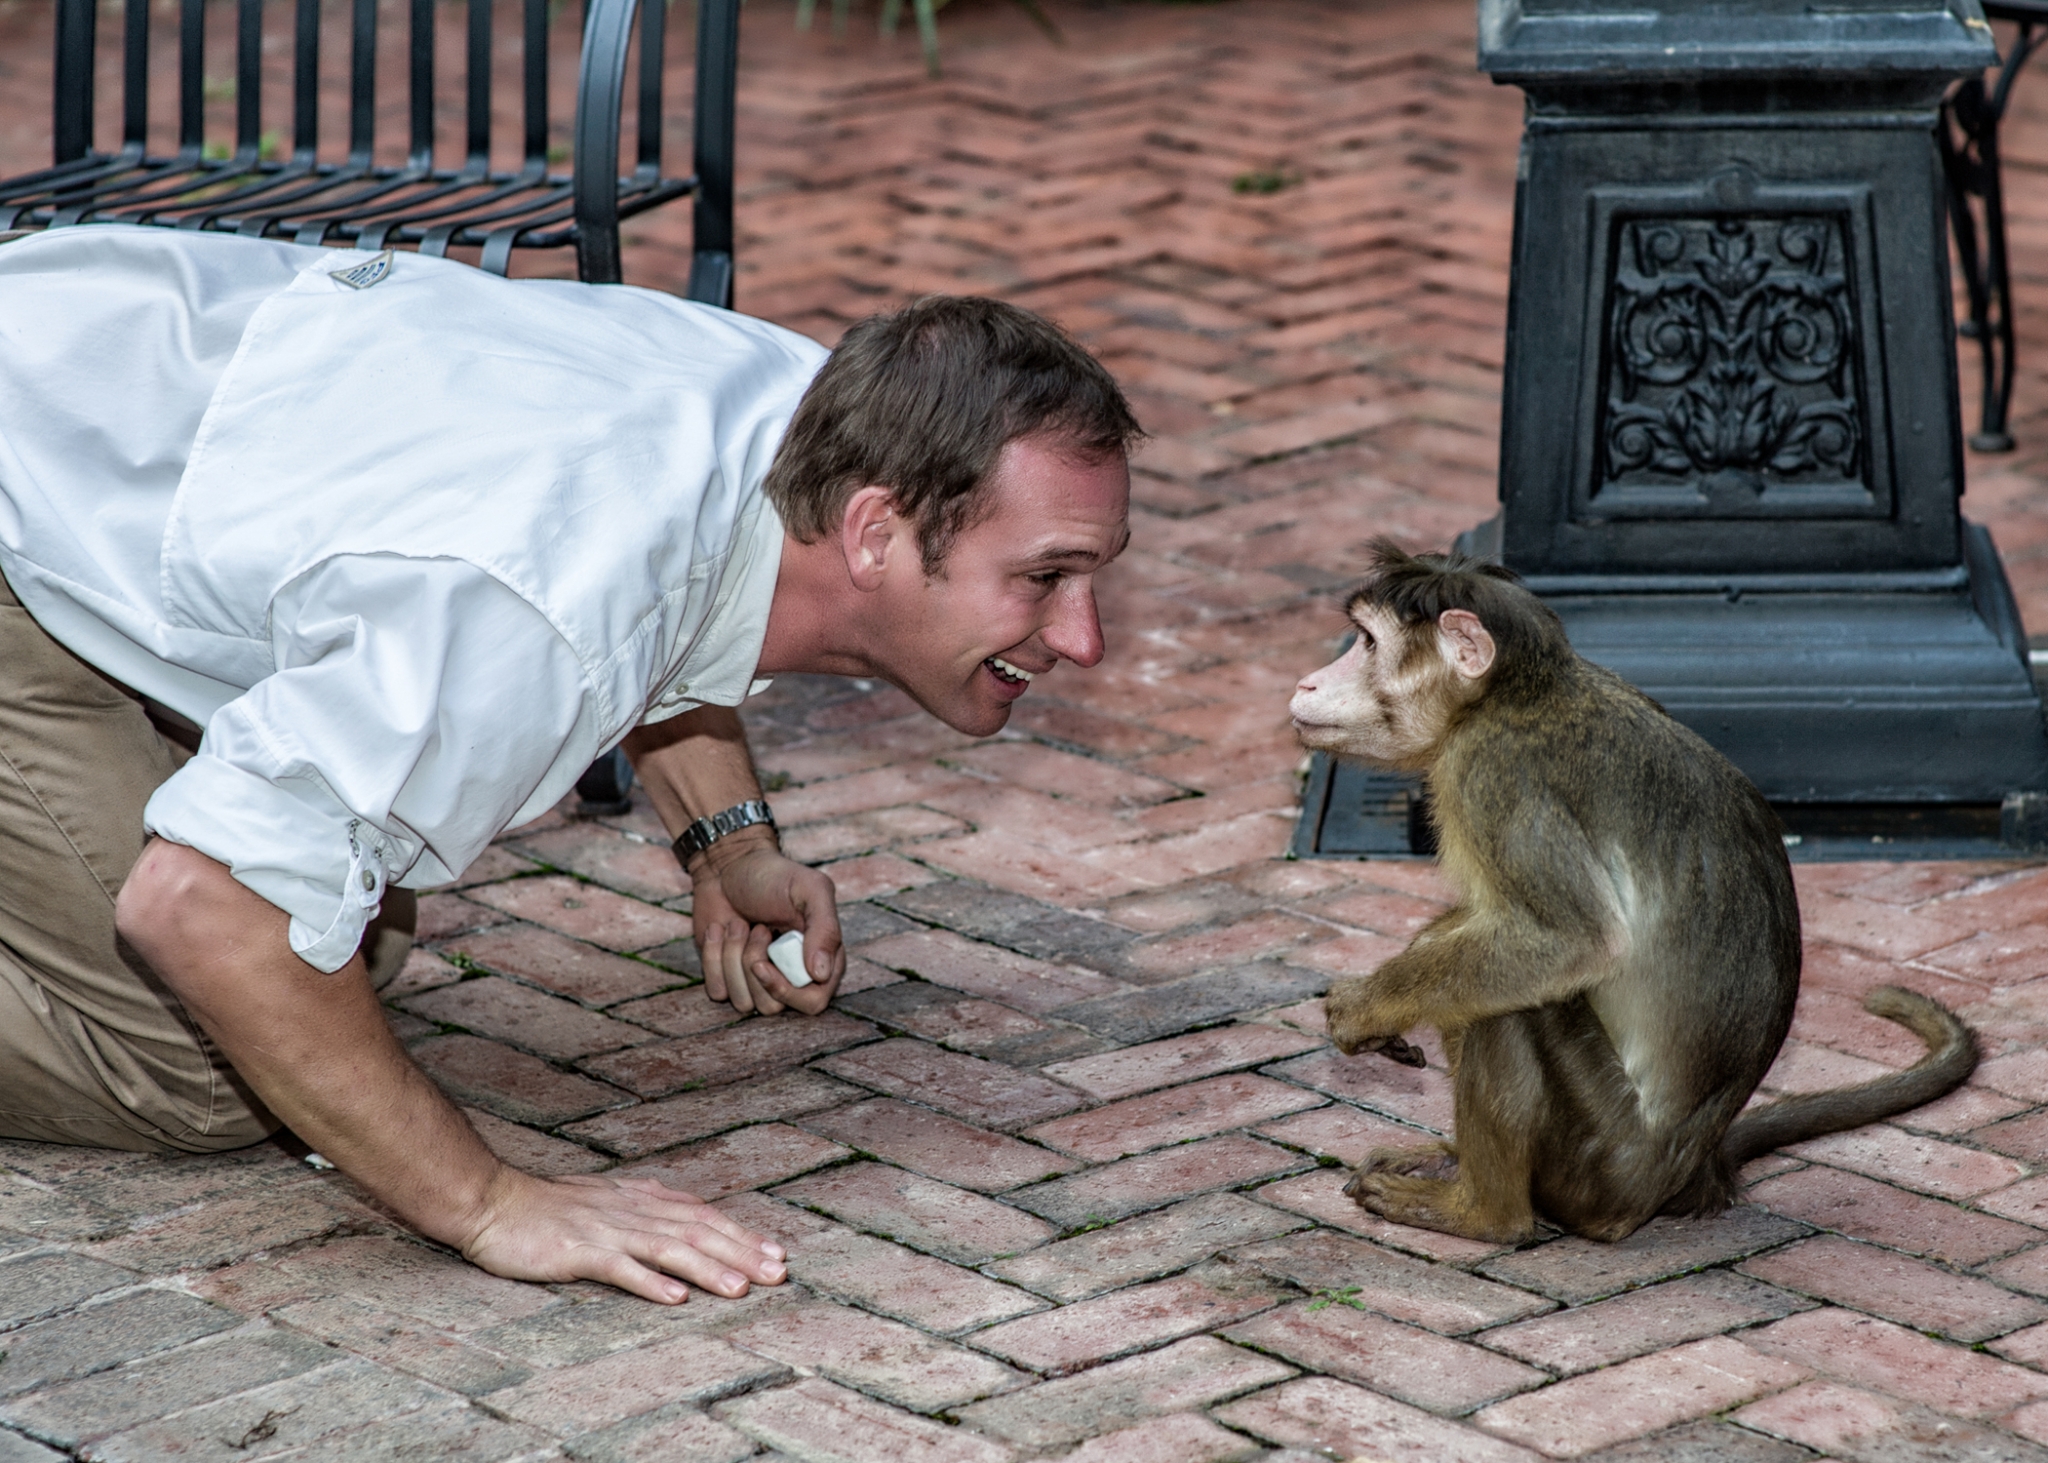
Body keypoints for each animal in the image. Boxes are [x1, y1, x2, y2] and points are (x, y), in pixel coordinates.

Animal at [1286, 536, 1974, 1245]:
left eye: (1367, 643)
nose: (1309, 680)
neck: (1509, 697)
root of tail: (1679, 1174)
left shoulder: (1493, 771)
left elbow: (1570, 944)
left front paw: (1367, 1008)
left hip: (1597, 1158)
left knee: (1513, 1006)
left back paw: (1486, 1214)